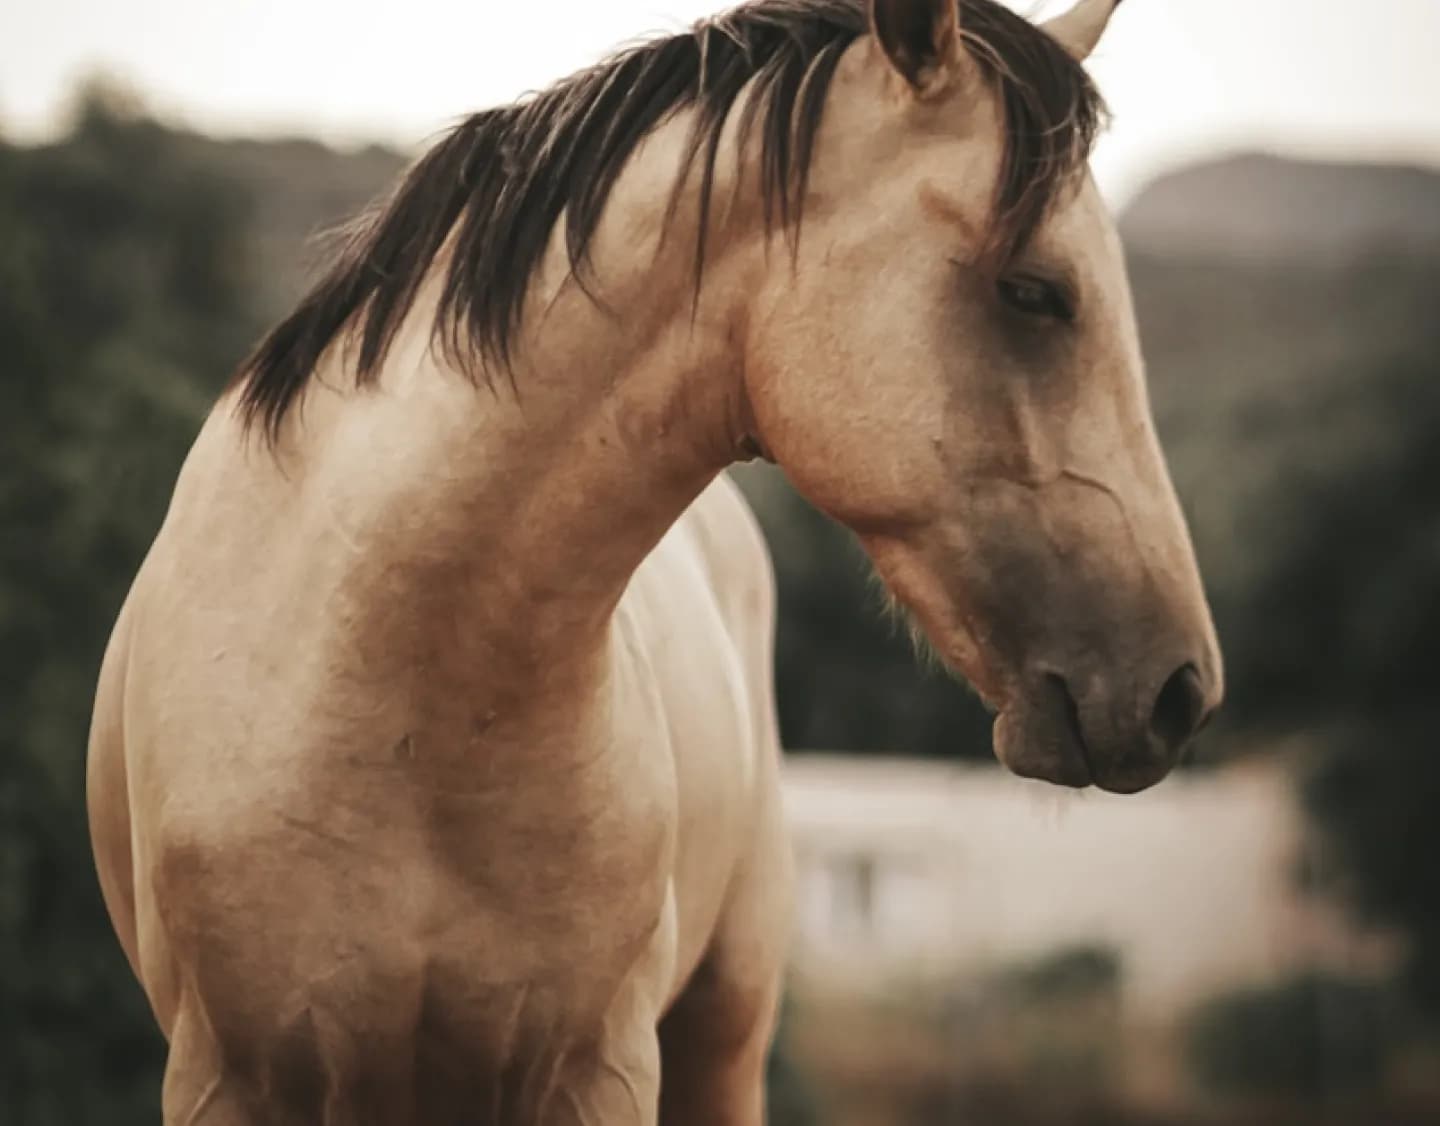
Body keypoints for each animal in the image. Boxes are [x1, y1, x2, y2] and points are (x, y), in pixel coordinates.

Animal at [86, 0, 1223, 1120]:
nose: (1182, 689)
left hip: (727, 1026)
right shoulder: (227, 1080)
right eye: (1034, 291)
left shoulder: (600, 1072)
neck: (391, 693)